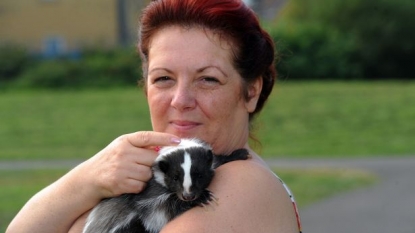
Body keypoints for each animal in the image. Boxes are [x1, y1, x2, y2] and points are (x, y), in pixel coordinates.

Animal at [83, 138, 249, 233]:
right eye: (175, 177)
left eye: (199, 175)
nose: (188, 195)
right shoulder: (148, 193)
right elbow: (159, 211)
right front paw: (203, 197)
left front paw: (237, 154)